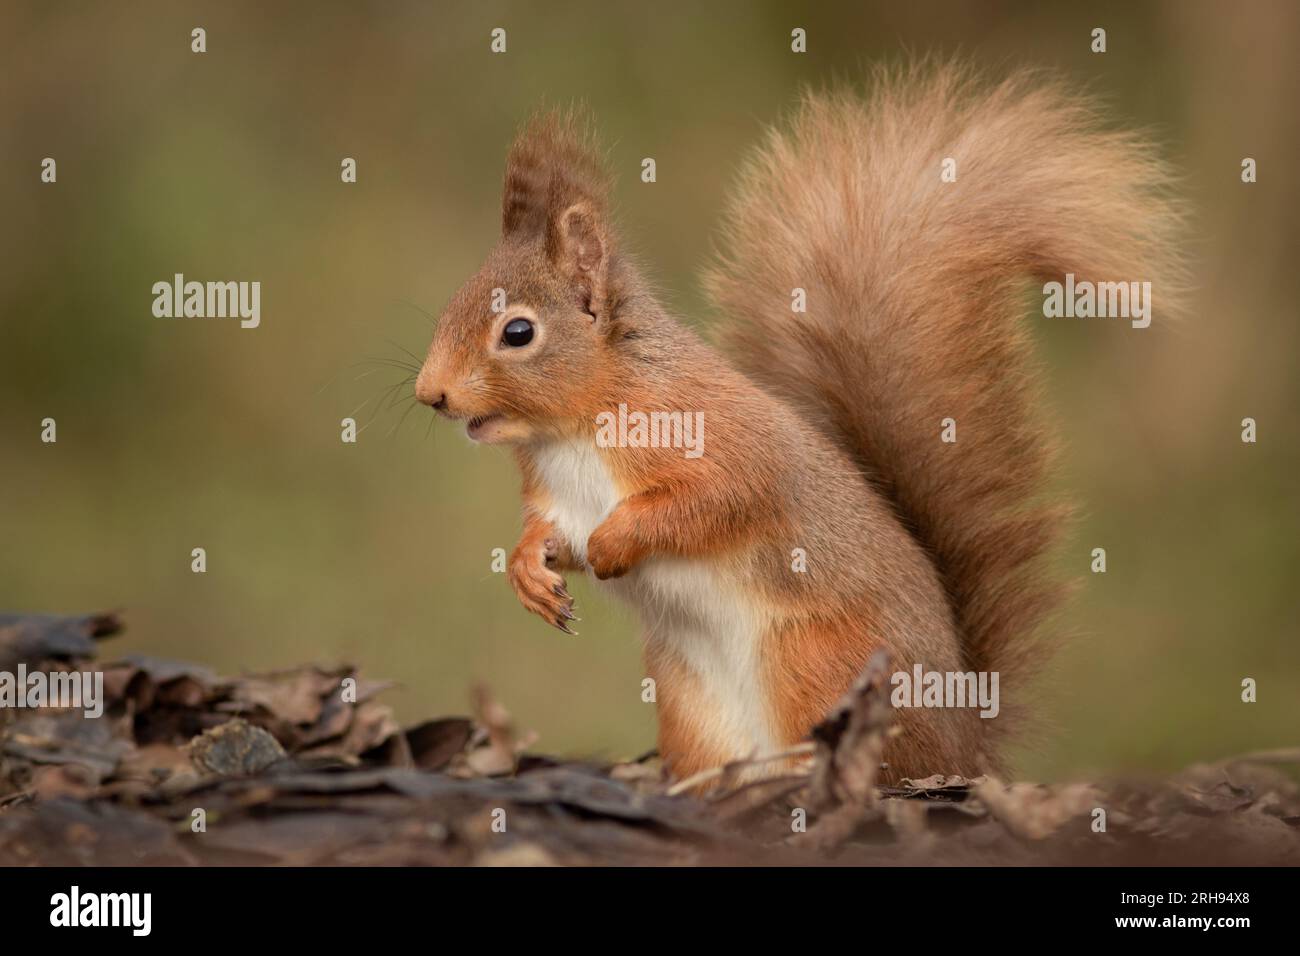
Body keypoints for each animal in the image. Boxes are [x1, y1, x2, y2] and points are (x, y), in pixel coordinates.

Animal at [418, 65, 1190, 785]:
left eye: (518, 332)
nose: (431, 395)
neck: (573, 428)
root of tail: (967, 745)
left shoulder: (717, 441)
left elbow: (714, 502)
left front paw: (615, 542)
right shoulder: (554, 494)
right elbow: (547, 532)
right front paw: (530, 571)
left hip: (815, 663)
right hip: (691, 699)